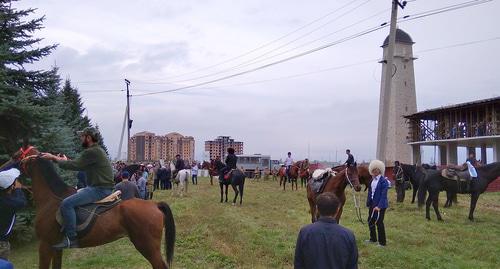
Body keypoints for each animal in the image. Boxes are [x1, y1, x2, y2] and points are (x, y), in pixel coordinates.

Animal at [15, 147, 175, 268]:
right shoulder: (55, 248)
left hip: (147, 247)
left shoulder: (45, 245)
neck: (51, 198)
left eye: (17, 155)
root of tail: (155, 204)